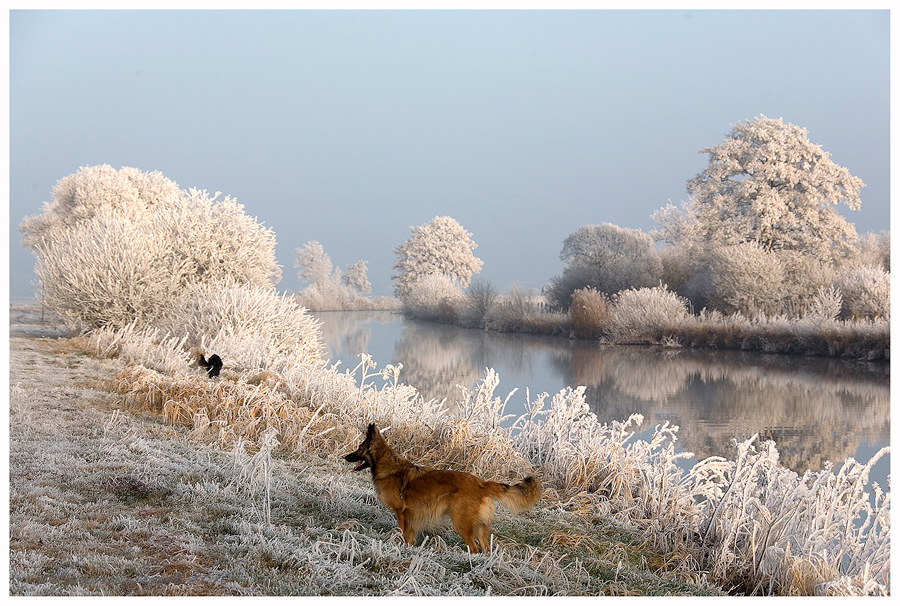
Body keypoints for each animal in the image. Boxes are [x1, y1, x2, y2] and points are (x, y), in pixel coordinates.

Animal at [344, 426, 540, 552]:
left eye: (359, 448)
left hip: (461, 522)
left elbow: (402, 533)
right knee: (485, 549)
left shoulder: (402, 513)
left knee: (474, 548)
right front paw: (409, 550)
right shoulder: (411, 517)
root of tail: (482, 483)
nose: (345, 457)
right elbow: (410, 537)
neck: (389, 467)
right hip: (478, 527)